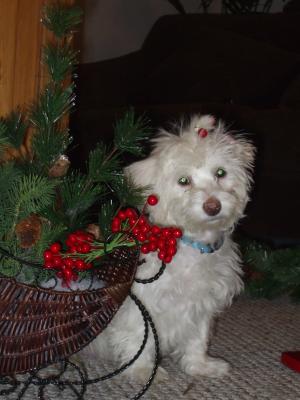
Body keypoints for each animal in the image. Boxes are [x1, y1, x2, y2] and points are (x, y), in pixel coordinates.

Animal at [90, 115, 254, 382]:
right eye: (183, 181)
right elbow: (140, 338)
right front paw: (144, 371)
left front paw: (199, 366)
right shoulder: (140, 304)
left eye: (221, 173)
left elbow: (197, 338)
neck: (192, 245)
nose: (213, 206)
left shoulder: (201, 303)